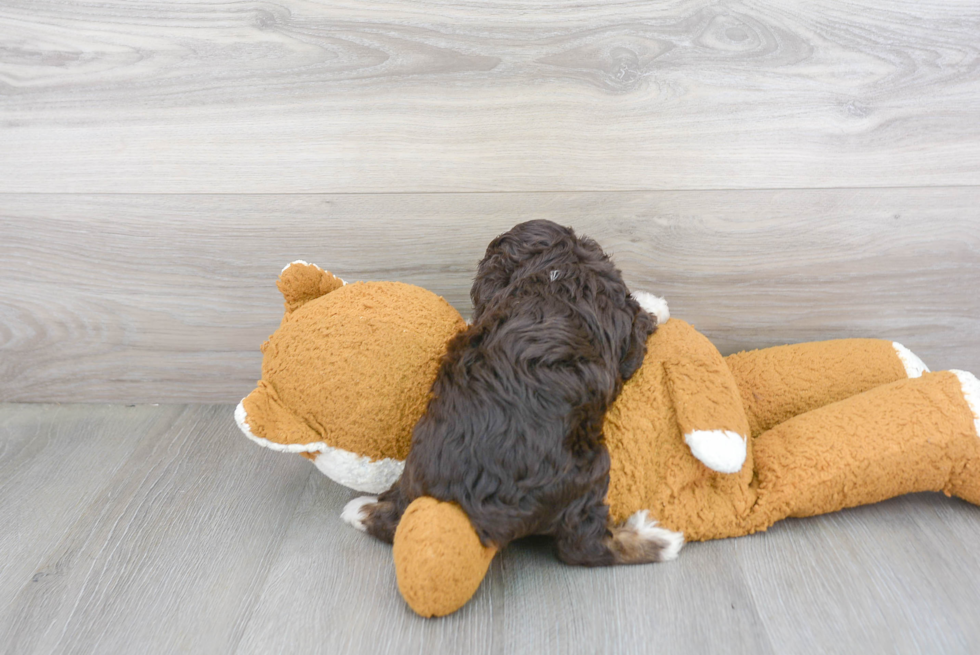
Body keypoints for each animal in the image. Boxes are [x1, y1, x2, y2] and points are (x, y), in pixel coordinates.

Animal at [344, 222, 680, 568]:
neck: (554, 270)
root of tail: (463, 504)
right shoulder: (627, 332)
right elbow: (642, 320)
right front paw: (657, 304)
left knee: (391, 519)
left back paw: (360, 509)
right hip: (585, 472)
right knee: (583, 546)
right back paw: (659, 540)